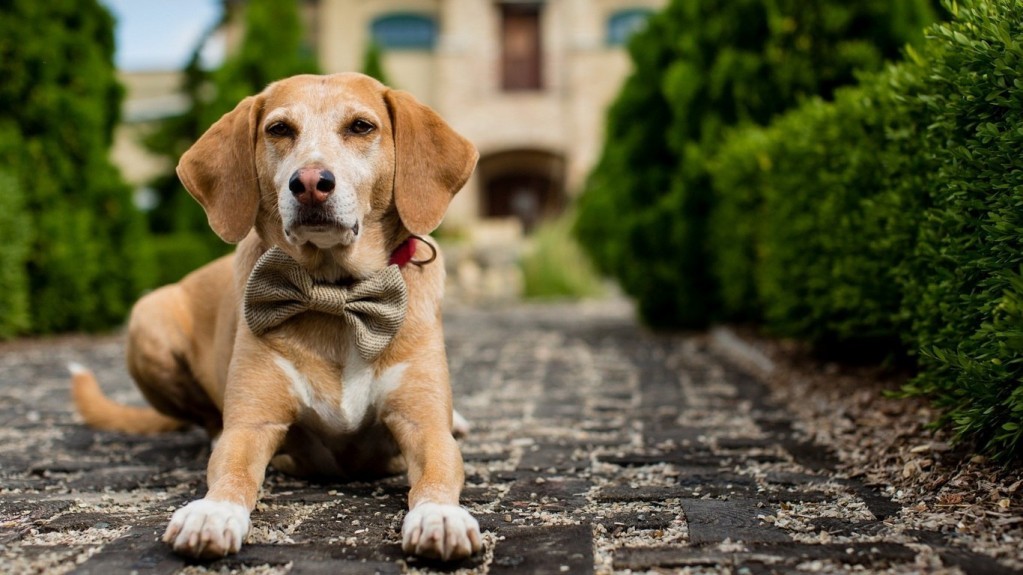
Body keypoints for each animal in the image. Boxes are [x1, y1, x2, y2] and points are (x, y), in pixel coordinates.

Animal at [69, 72, 482, 560]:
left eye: (361, 126)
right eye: (279, 129)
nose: (310, 182)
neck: (333, 294)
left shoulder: (423, 424)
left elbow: (438, 470)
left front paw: (440, 516)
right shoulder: (253, 425)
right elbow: (232, 471)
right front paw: (212, 512)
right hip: (149, 317)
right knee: (208, 422)